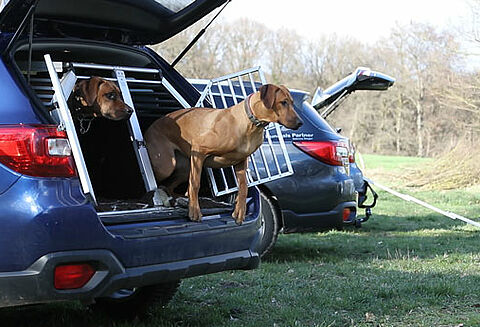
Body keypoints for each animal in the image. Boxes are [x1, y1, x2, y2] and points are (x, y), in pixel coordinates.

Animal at [145, 84, 304, 226]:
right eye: (283, 102)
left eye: (292, 103)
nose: (300, 122)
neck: (250, 124)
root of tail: (151, 126)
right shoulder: (199, 149)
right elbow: (195, 184)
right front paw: (194, 211)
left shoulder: (241, 162)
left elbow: (243, 187)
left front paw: (239, 211)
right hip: (166, 165)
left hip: (184, 168)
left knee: (168, 186)